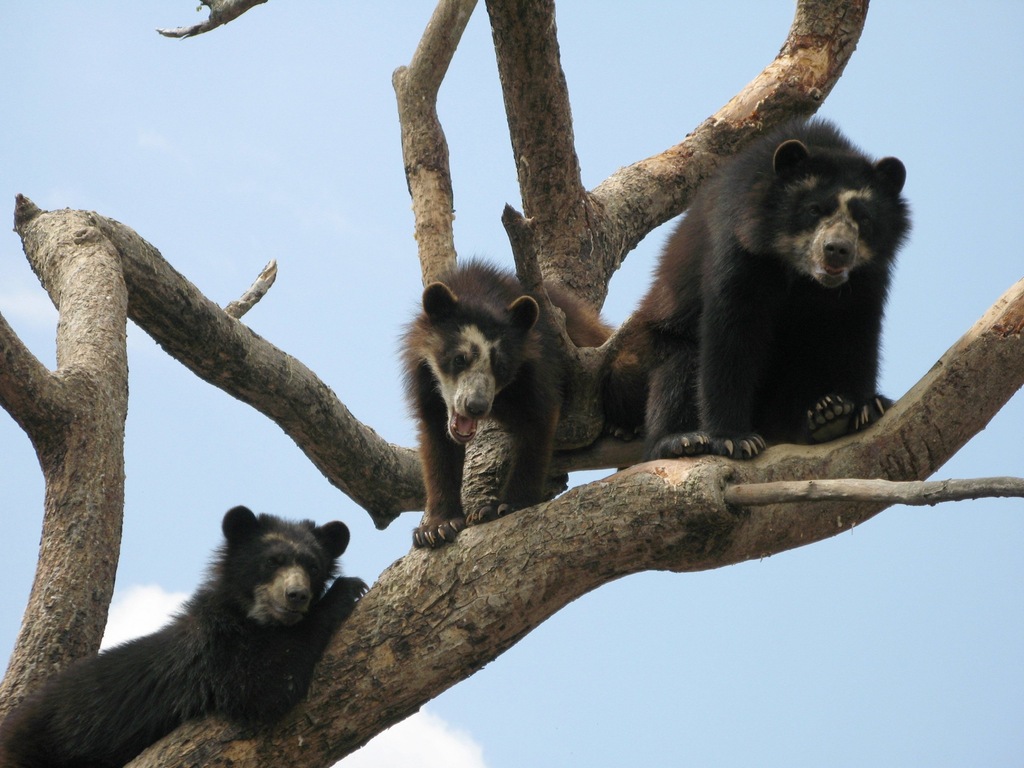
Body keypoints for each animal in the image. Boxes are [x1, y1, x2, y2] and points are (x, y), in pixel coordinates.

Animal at [0, 507, 366, 765]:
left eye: (313, 567)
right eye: (271, 562)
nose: (296, 596)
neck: (255, 619)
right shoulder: (218, 651)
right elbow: (265, 687)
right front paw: (348, 590)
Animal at [399, 262, 606, 548]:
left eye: (501, 367)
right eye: (459, 359)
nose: (476, 406)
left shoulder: (538, 364)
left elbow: (538, 422)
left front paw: (510, 505)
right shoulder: (423, 378)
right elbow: (437, 442)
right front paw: (437, 528)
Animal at [602, 117, 909, 460]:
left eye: (864, 219)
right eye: (814, 210)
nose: (837, 250)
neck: (802, 275)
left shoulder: (866, 276)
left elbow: (858, 329)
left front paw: (861, 406)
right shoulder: (739, 246)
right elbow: (731, 332)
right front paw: (733, 439)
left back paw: (827, 416)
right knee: (678, 369)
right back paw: (679, 440)